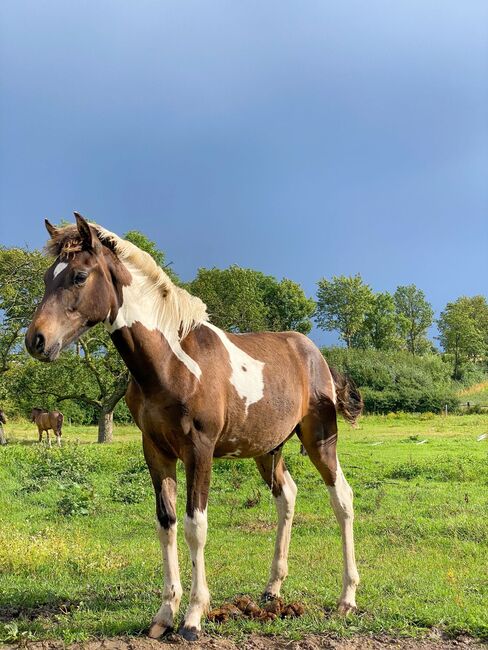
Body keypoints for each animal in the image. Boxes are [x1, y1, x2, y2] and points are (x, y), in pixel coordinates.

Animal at [26, 214, 362, 636]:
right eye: (46, 278)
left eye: (79, 276)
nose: (36, 341)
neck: (172, 363)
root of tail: (316, 355)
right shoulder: (155, 450)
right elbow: (166, 523)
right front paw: (164, 614)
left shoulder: (199, 451)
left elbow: (195, 525)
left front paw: (193, 616)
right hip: (267, 449)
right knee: (287, 496)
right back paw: (272, 590)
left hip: (320, 440)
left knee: (342, 499)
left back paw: (347, 599)